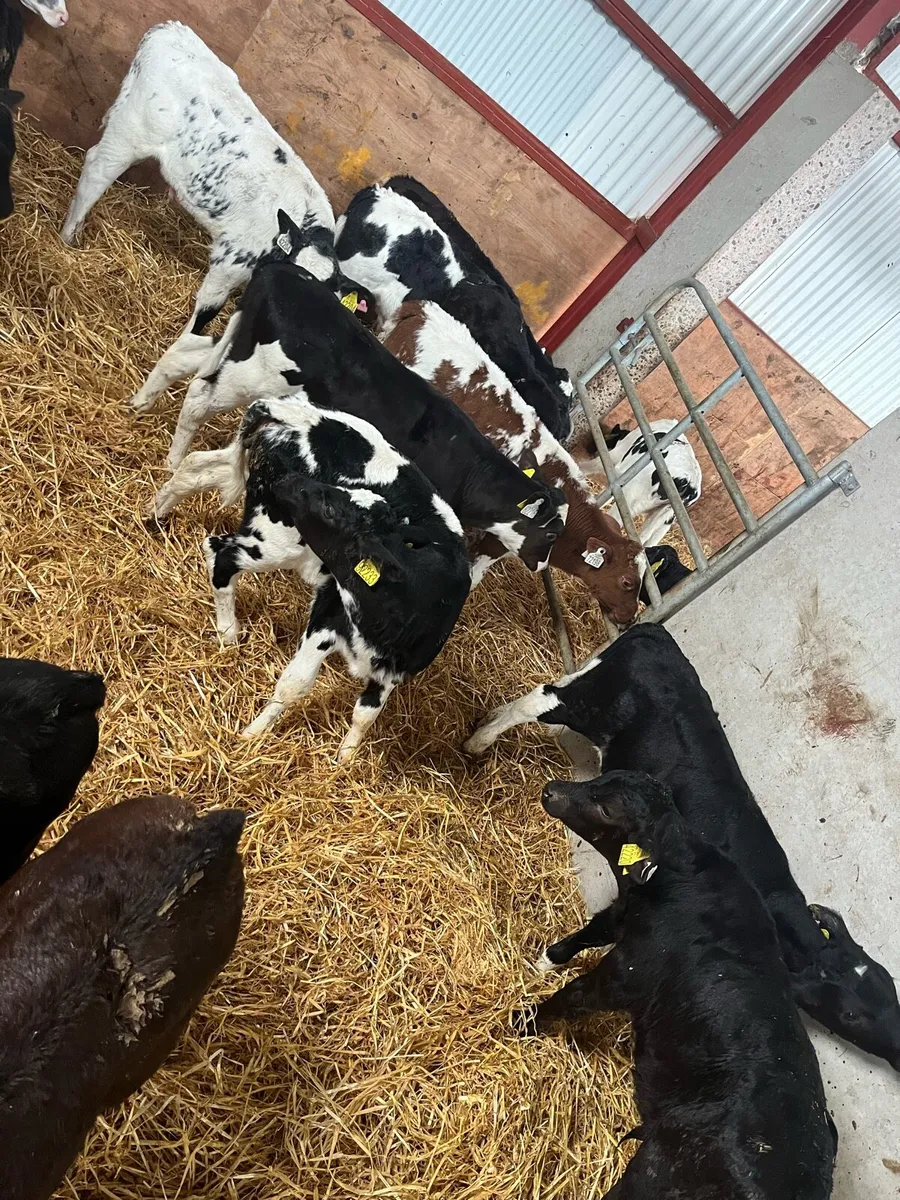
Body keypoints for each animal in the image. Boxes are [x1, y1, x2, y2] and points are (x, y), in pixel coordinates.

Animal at [153, 395, 472, 760]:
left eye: (332, 509)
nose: (290, 484)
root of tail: (285, 411)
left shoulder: (395, 668)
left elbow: (365, 714)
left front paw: (345, 757)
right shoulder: (327, 617)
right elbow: (294, 684)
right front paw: (253, 733)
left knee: (197, 469)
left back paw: (156, 513)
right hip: (274, 539)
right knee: (222, 554)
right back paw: (228, 631)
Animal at [466, 623, 900, 1071]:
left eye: (885, 982)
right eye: (851, 1014)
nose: (896, 1050)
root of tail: (653, 631)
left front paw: (543, 964)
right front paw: (541, 967)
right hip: (588, 704)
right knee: (540, 696)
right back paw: (478, 741)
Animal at [523, 769, 836, 1200]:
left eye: (606, 809)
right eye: (601, 778)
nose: (550, 790)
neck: (680, 877)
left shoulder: (625, 974)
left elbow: (571, 997)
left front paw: (521, 1022)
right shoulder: (625, 916)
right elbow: (593, 929)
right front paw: (547, 958)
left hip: (658, 1167)